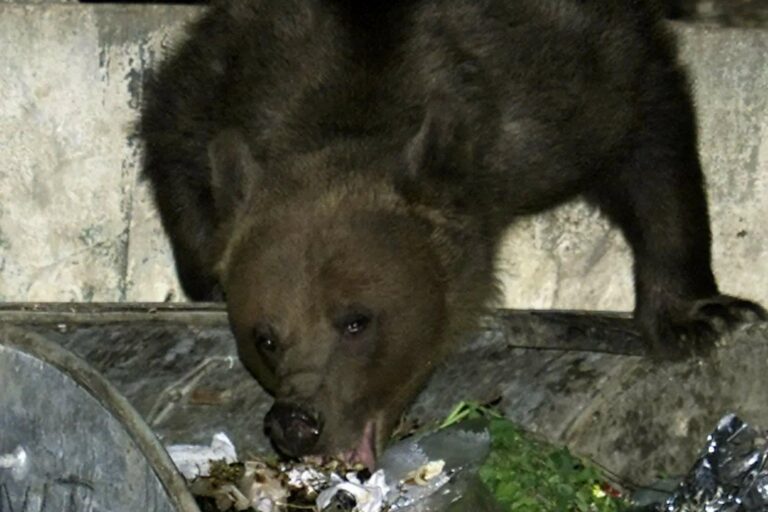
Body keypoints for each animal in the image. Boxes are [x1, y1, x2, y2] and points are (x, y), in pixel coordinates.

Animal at [140, 0, 760, 468]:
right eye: (264, 335)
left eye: (356, 321)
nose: (296, 421)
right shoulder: (228, 81)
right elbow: (174, 140)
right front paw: (207, 274)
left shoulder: (554, 90)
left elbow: (650, 134)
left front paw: (699, 315)